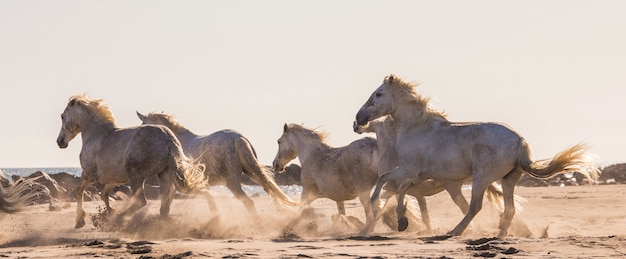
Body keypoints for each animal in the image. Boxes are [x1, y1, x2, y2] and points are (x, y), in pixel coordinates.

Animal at [54, 94, 204, 229]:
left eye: (62, 116)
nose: (60, 142)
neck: (95, 134)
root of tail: (169, 139)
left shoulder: (89, 175)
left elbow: (79, 190)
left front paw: (80, 220)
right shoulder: (112, 179)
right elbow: (104, 194)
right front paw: (109, 213)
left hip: (135, 177)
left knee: (141, 202)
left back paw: (120, 220)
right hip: (163, 174)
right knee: (165, 204)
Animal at [136, 112, 294, 218]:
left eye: (143, 126)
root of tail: (239, 138)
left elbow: (167, 201)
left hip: (232, 182)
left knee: (249, 202)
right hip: (250, 173)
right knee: (268, 187)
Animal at [354, 75, 596, 238]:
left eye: (379, 93)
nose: (358, 119)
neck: (416, 128)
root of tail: (520, 140)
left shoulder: (409, 169)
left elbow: (384, 179)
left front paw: (377, 205)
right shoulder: (420, 174)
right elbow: (402, 189)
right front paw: (402, 220)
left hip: (482, 178)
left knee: (474, 207)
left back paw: (456, 231)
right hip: (508, 180)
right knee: (508, 209)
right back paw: (499, 235)